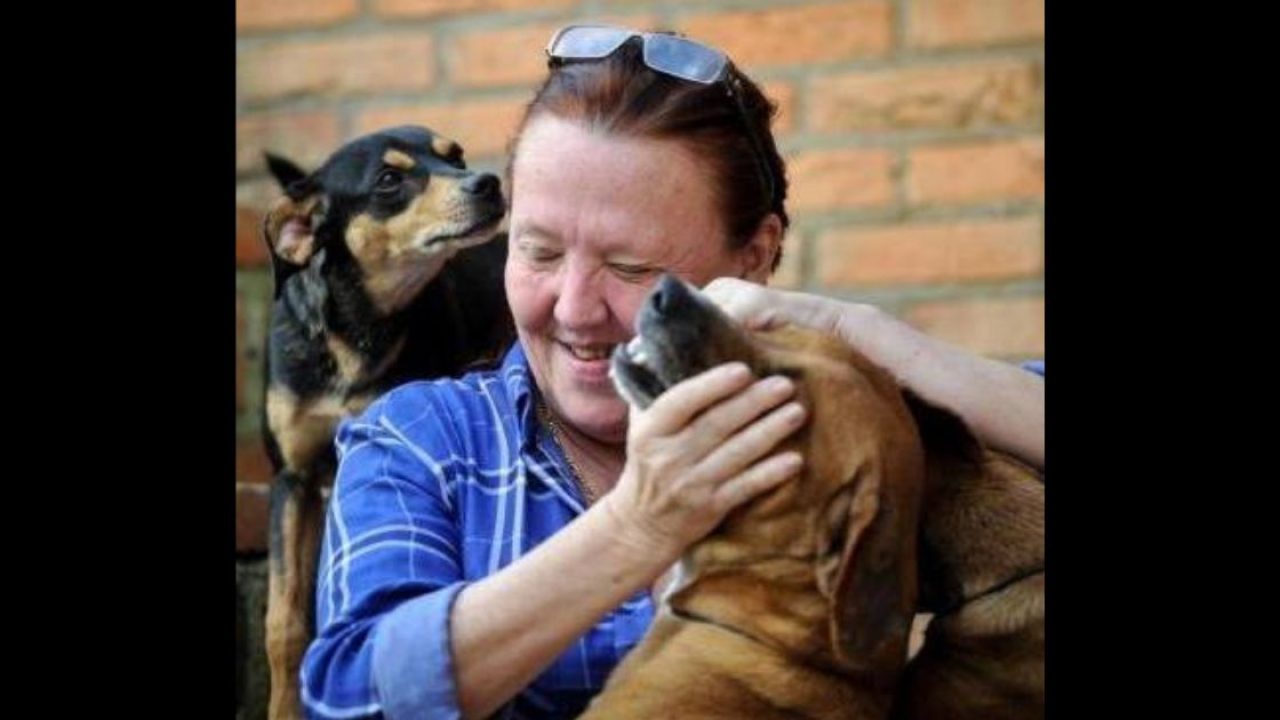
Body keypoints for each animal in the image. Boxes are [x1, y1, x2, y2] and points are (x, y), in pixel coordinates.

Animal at [254, 126, 514, 712]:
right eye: (389, 180)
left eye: (455, 157)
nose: (486, 182)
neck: (356, 332)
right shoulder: (292, 478)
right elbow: (283, 622)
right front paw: (283, 710)